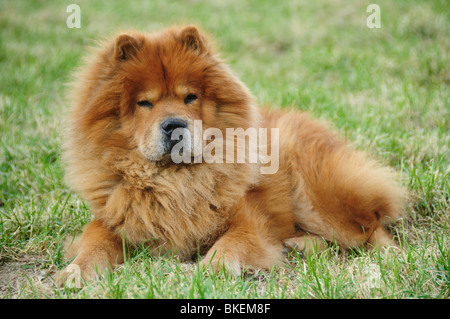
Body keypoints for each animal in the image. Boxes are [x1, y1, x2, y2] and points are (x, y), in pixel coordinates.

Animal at [56, 26, 408, 286]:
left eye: (190, 97)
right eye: (145, 103)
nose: (174, 125)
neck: (175, 182)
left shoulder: (246, 221)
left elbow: (230, 245)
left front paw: (212, 271)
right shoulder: (112, 219)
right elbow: (93, 245)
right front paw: (73, 274)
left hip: (320, 198)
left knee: (370, 227)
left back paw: (390, 256)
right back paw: (298, 246)